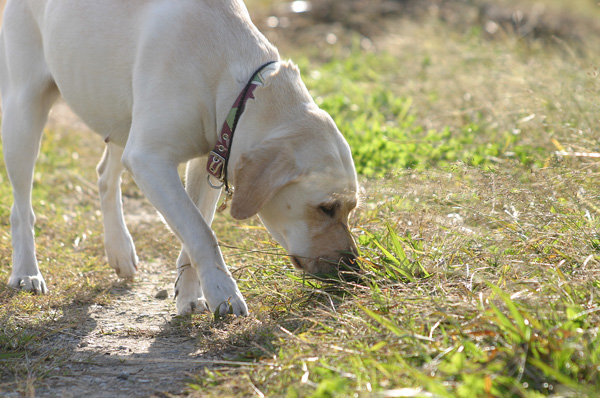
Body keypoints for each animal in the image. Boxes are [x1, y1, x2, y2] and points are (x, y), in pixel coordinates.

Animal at [0, 0, 356, 318]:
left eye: (350, 209)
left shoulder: (211, 161)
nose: (354, 269)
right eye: (326, 208)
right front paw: (223, 292)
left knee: (105, 176)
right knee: (22, 207)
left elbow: (196, 227)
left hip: (121, 119)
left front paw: (191, 294)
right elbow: (201, 232)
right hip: (24, 113)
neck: (237, 86)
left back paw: (119, 250)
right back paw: (26, 271)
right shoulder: (149, 159)